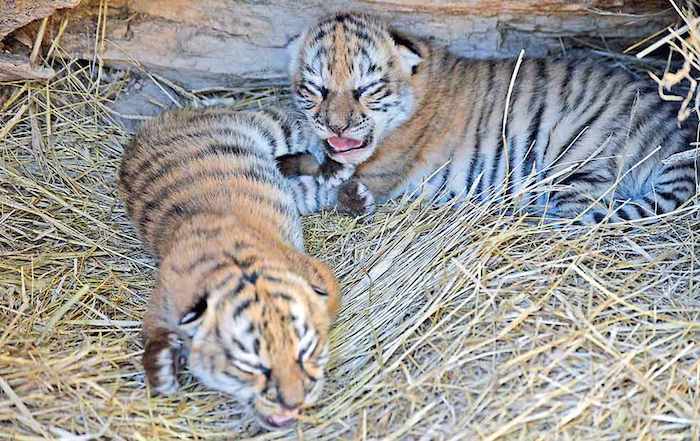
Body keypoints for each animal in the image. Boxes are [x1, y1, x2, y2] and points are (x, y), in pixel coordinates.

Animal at [117, 105, 341, 430]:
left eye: (305, 351)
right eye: (251, 365)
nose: (293, 403)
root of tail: (160, 120)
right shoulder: (165, 295)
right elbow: (150, 328)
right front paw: (160, 368)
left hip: (273, 126)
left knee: (311, 131)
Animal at [278, 12, 699, 224]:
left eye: (366, 89)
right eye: (316, 89)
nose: (337, 127)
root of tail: (678, 133)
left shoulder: (381, 173)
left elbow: (318, 186)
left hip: (578, 158)